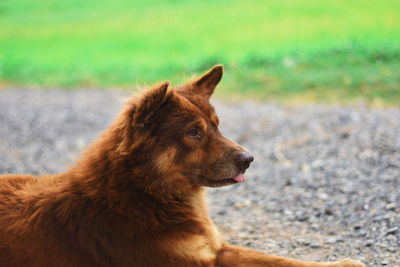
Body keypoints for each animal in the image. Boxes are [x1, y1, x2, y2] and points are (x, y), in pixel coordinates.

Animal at [0, 65, 366, 267]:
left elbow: (277, 259)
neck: (145, 194)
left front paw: (342, 263)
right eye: (193, 132)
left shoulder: (216, 251)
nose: (249, 159)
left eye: (217, 126)